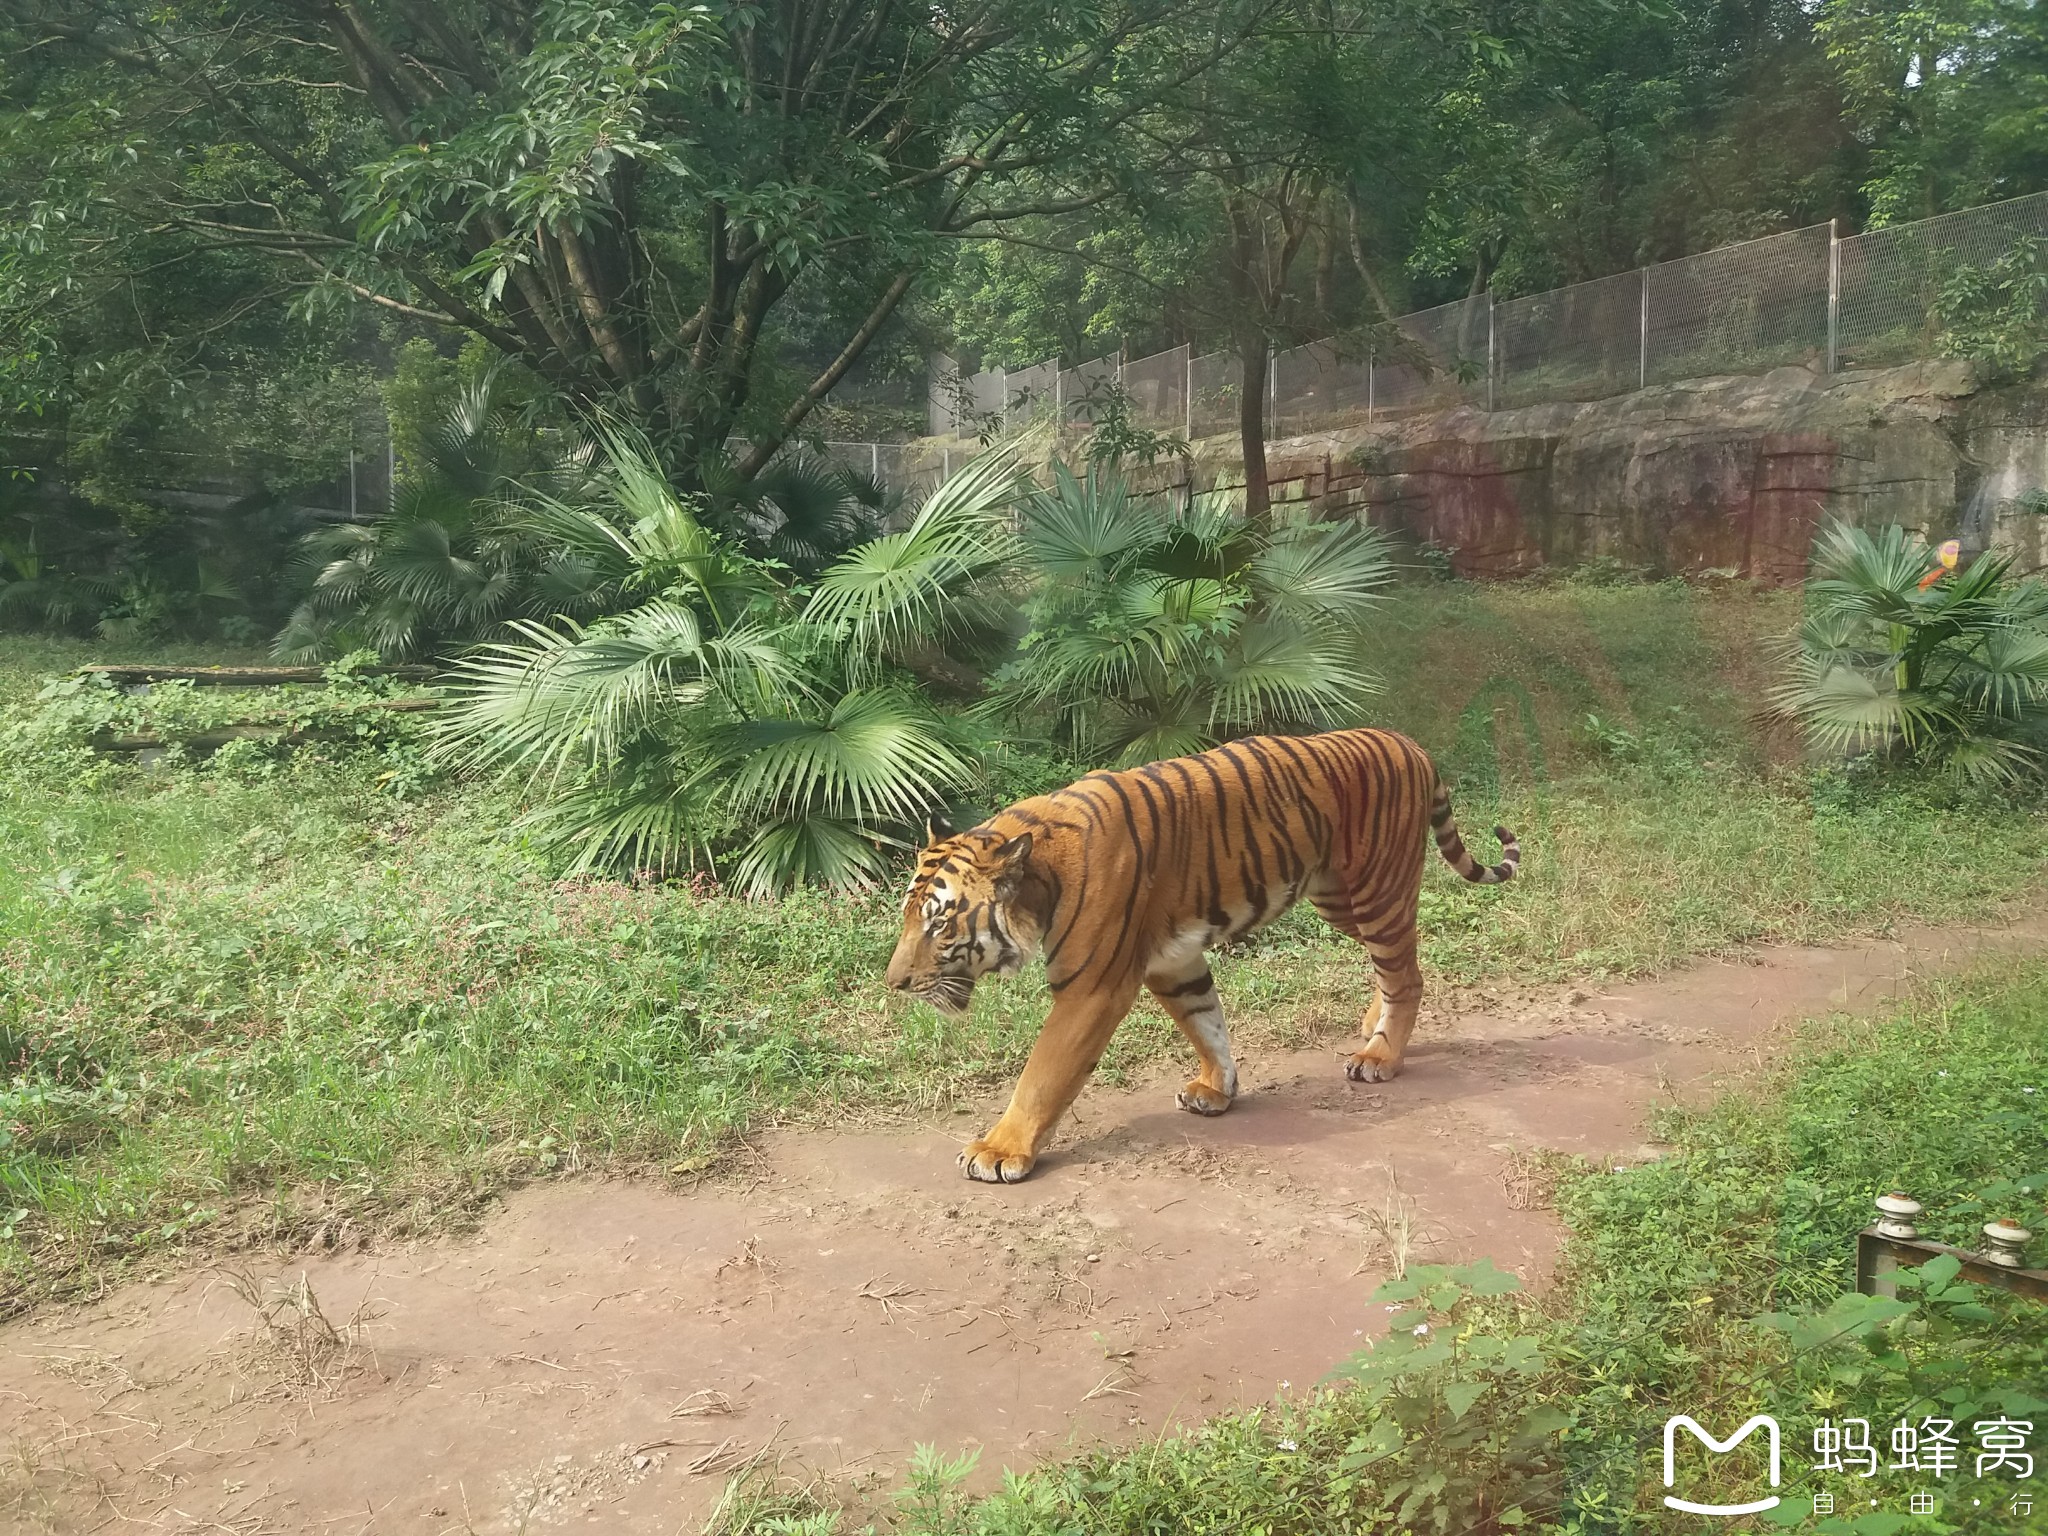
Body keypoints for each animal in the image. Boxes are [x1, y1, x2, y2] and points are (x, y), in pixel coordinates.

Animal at [880, 729, 1523, 1187]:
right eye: (908, 916)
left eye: (939, 923)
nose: (895, 983)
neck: (1040, 877)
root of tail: (1410, 743)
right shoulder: (1173, 961)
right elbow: (1206, 1023)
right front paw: (1219, 1090)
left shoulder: (1093, 988)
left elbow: (1043, 1074)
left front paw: (999, 1150)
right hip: (1339, 899)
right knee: (1396, 966)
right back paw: (1375, 1026)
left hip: (1376, 891)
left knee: (1405, 973)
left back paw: (1382, 1055)